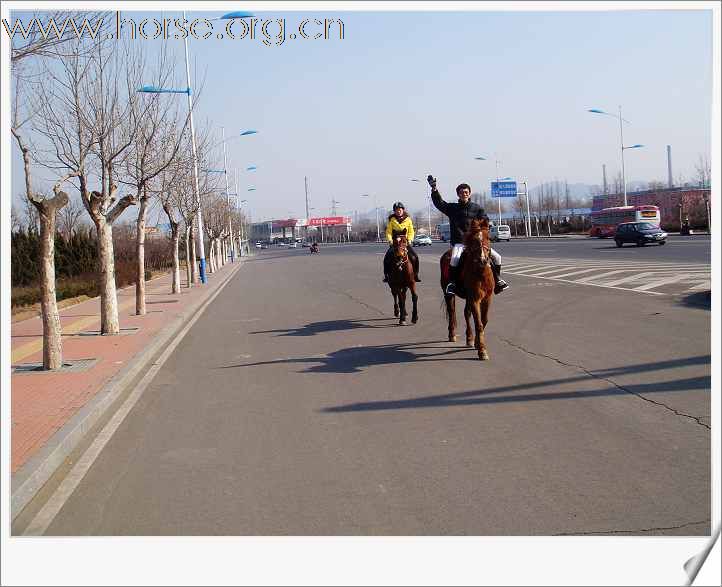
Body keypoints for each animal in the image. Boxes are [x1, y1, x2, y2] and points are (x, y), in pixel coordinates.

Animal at [438, 218, 496, 360]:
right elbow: (479, 323)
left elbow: (483, 321)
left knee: (466, 313)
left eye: (488, 237)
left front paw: (477, 343)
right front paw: (482, 350)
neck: (480, 272)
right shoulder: (475, 298)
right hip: (448, 295)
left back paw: (469, 338)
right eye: (474, 239)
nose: (482, 260)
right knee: (452, 311)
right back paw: (452, 334)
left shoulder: (486, 298)